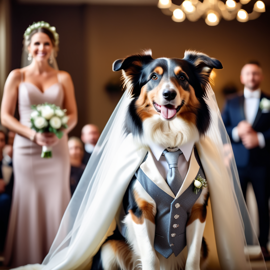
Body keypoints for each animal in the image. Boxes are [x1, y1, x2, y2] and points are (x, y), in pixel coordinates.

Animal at [92, 50, 223, 270]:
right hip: (109, 247)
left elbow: (192, 258)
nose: (169, 94)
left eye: (182, 78)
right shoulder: (141, 212)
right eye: (154, 77)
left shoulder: (198, 211)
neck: (171, 145)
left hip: (205, 248)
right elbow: (150, 257)